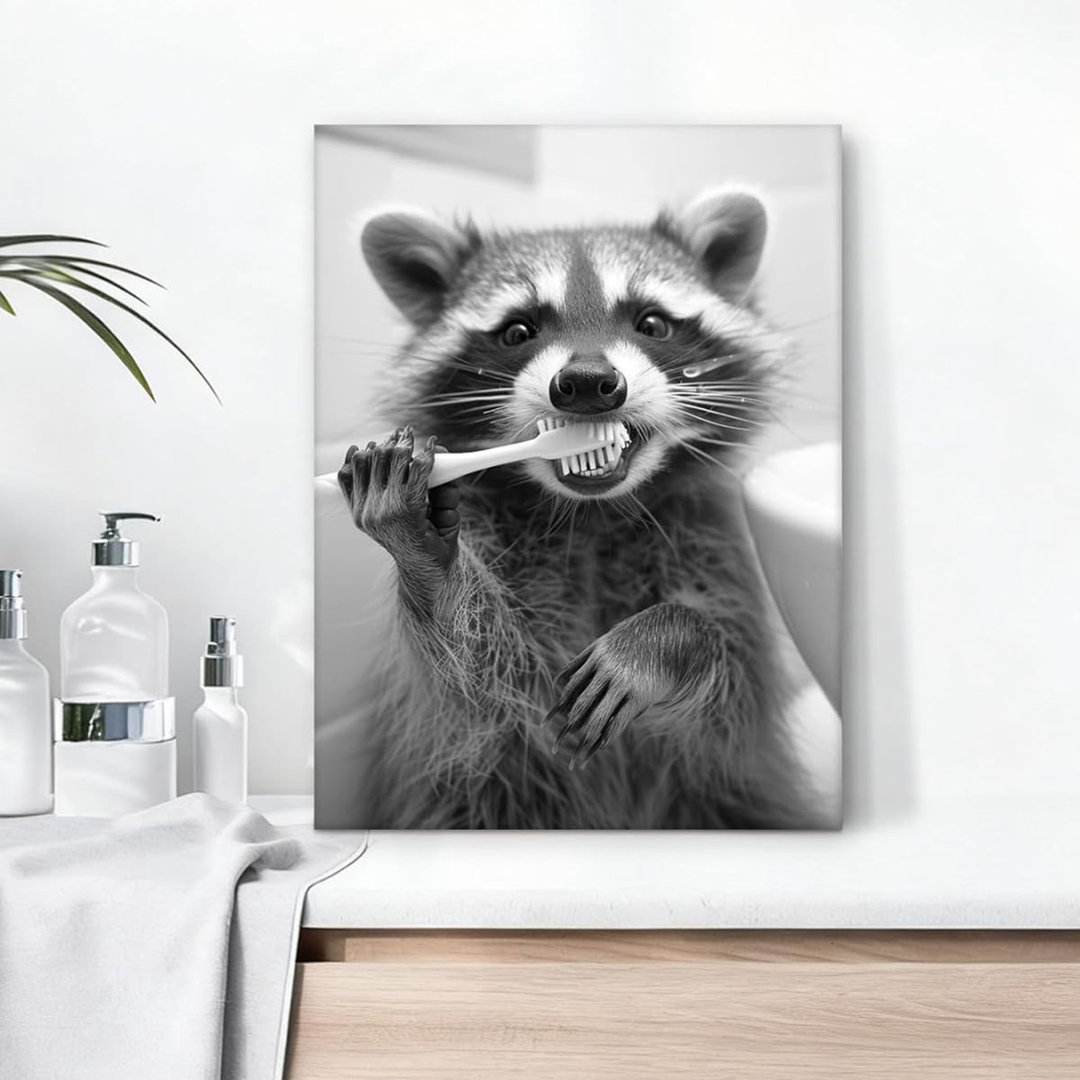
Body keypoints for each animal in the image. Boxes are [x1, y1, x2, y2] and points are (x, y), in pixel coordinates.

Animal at [337, 188, 824, 829]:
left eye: (652, 322)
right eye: (517, 331)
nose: (589, 382)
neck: (592, 515)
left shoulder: (713, 549)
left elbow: (728, 703)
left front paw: (666, 638)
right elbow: (476, 684)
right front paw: (426, 559)